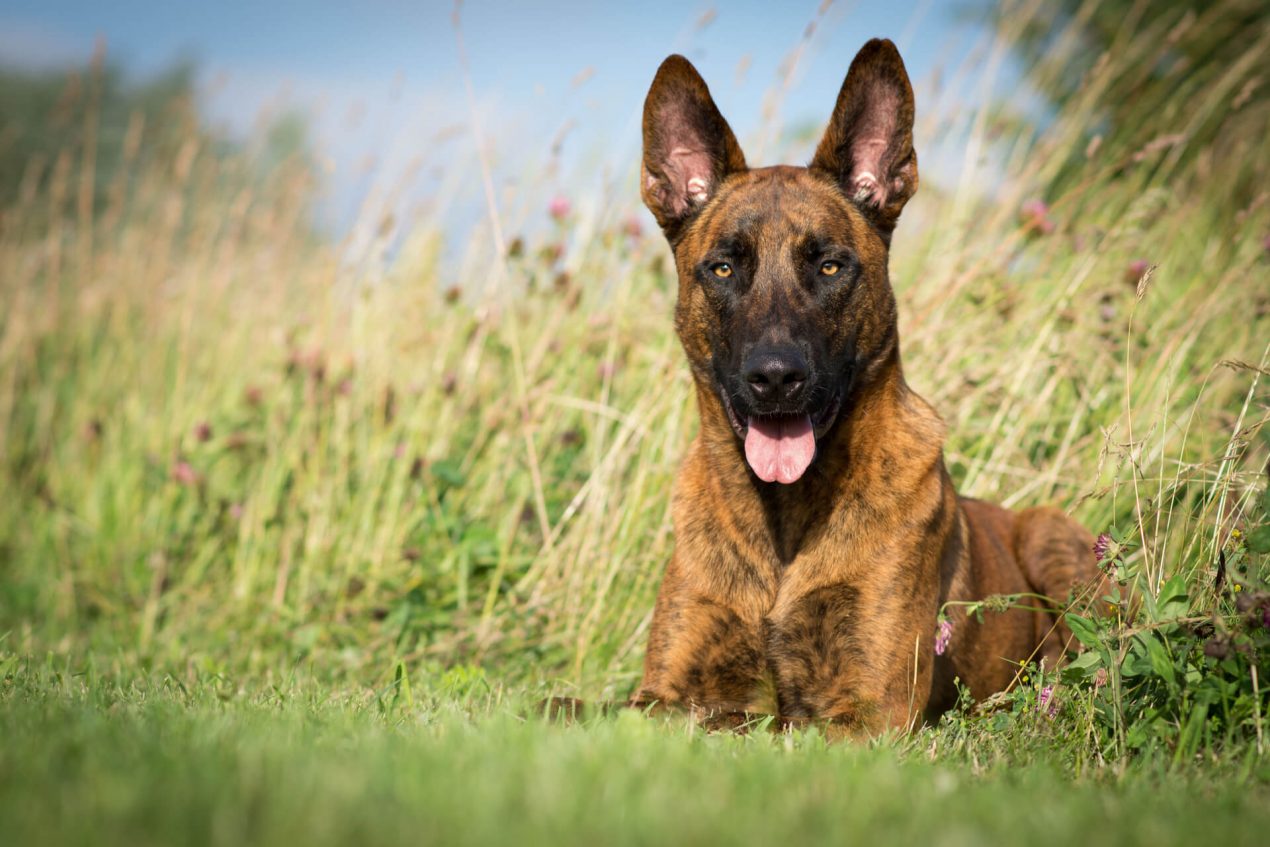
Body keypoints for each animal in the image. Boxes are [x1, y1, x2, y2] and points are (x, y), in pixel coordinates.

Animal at [635, 38, 1102, 736]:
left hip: (1055, 547)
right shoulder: (662, 689)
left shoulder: (867, 712)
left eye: (831, 266)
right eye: (722, 268)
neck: (785, 519)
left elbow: (754, 723)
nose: (776, 378)